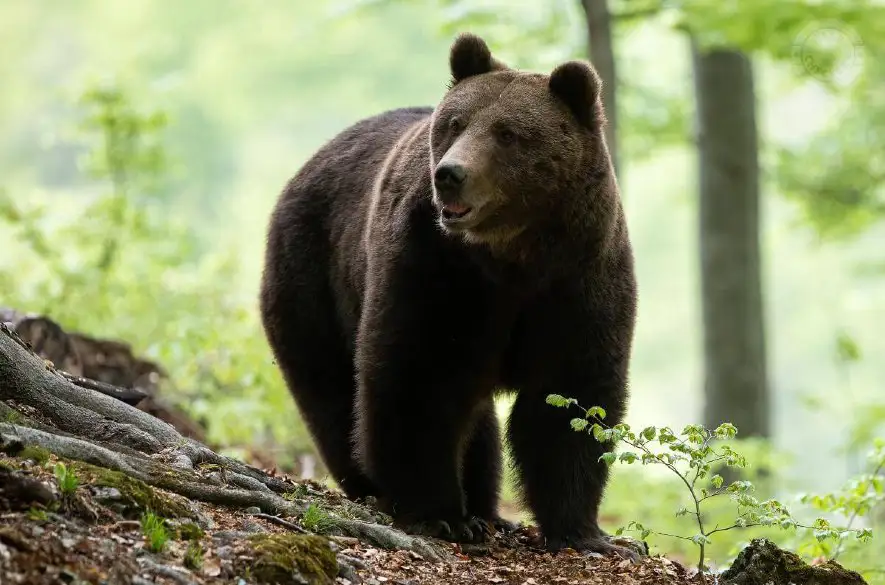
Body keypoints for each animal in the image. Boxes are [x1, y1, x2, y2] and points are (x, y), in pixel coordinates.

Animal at [258, 33, 640, 556]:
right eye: (456, 123)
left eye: (507, 133)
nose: (450, 174)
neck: (513, 256)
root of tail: (306, 166)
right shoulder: (436, 270)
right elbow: (418, 374)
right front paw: (438, 513)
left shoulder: (580, 278)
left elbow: (570, 395)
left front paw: (587, 533)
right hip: (312, 274)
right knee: (331, 389)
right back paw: (384, 490)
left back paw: (486, 510)